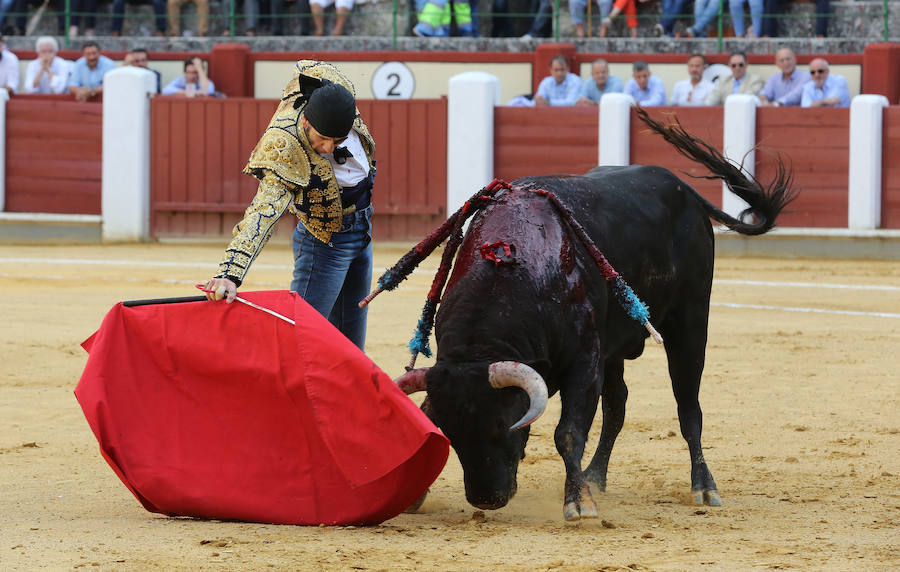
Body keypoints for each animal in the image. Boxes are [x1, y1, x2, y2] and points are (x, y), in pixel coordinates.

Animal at [394, 109, 796, 520]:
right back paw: (595, 477)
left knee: (688, 407)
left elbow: (568, 432)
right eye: (451, 434)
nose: (484, 499)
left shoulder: (584, 359)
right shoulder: (592, 355)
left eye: (504, 425)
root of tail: (685, 191)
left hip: (690, 321)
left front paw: (578, 503)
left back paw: (704, 487)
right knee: (618, 406)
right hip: (615, 346)